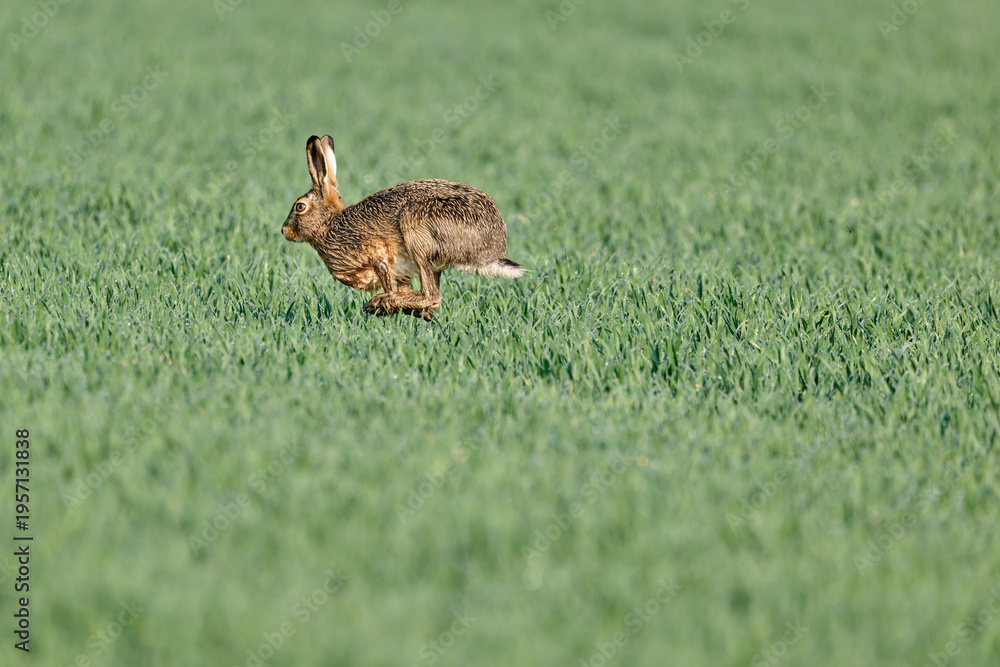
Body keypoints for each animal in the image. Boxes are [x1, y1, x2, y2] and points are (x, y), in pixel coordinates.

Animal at [281, 135, 525, 322]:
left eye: (300, 207)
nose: (284, 231)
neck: (328, 225)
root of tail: (493, 249)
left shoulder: (377, 257)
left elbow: (388, 280)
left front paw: (384, 305)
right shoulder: (402, 274)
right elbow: (403, 288)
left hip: (415, 230)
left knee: (432, 295)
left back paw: (380, 304)